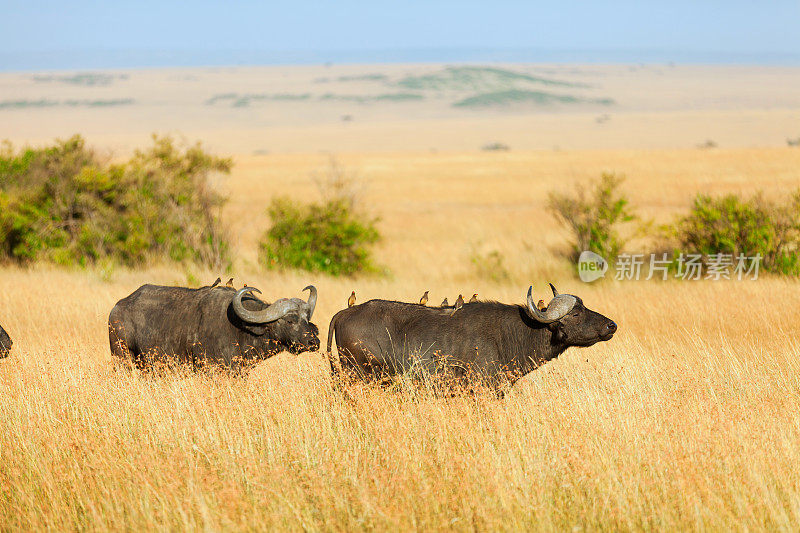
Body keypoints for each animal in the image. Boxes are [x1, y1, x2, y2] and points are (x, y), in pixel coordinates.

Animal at [110, 282, 322, 370]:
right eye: (290, 320)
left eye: (306, 319)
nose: (314, 342)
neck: (240, 329)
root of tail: (117, 307)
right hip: (122, 357)